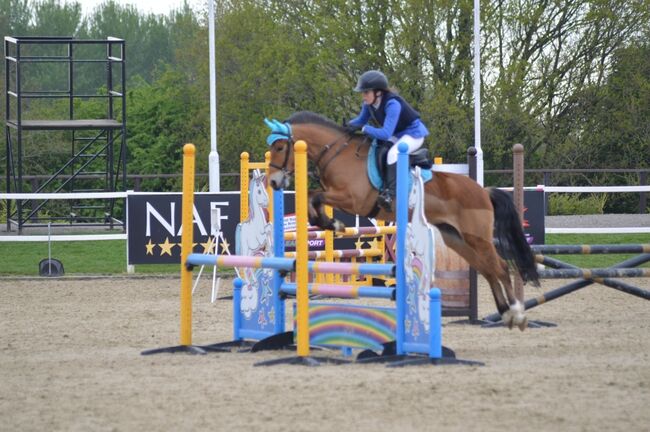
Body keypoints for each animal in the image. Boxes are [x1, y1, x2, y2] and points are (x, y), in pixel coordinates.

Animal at [262, 109, 536, 330]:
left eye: (279, 148)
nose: (273, 182)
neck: (338, 153)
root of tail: (482, 190)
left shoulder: (352, 199)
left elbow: (315, 196)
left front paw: (334, 224)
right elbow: (312, 198)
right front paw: (331, 224)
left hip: (477, 237)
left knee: (500, 268)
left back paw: (517, 314)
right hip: (456, 239)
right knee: (488, 270)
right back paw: (506, 313)